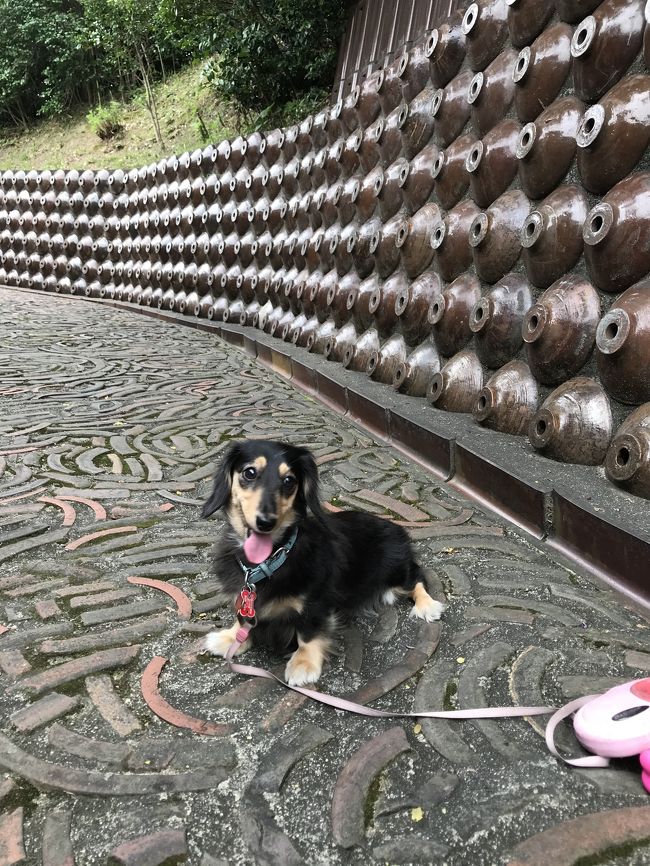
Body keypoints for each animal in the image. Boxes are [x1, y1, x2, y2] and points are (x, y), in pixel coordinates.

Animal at [200, 442, 442, 684]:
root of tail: (396, 527)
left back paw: (427, 606)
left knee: (416, 579)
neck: (271, 560)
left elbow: (309, 633)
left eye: (289, 481)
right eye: (249, 473)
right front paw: (230, 638)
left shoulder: (316, 603)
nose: (266, 522)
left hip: (395, 568)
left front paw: (303, 664)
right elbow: (244, 620)